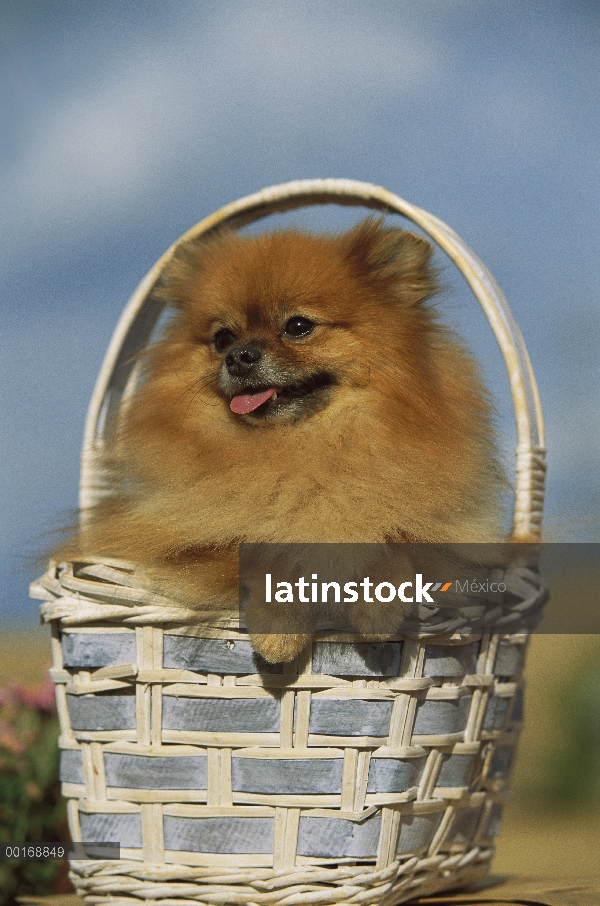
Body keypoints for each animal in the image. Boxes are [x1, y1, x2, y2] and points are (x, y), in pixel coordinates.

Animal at [57, 216, 506, 660]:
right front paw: (280, 631)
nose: (238, 356)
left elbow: (396, 542)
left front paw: (378, 606)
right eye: (222, 338)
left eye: (298, 327)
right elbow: (265, 550)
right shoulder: (189, 540)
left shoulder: (437, 531)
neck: (297, 451)